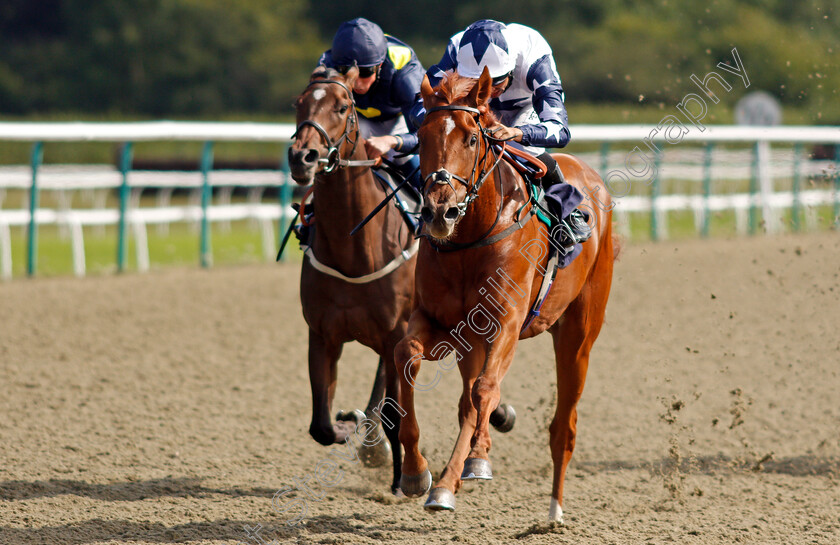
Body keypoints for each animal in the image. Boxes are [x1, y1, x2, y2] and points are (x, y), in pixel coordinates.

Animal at [288, 66, 420, 490]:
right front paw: (351, 426)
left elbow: (396, 415)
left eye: (343, 107)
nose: (303, 156)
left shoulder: (397, 332)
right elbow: (321, 424)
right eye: (298, 103)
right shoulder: (322, 333)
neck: (354, 249)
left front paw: (403, 481)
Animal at [394, 69, 616, 524]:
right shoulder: (441, 322)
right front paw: (417, 472)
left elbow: (483, 391)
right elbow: (407, 357)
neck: (471, 238)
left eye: (471, 138)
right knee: (468, 398)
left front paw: (465, 466)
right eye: (421, 135)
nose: (439, 212)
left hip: (579, 335)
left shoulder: (507, 323)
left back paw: (552, 512)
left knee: (562, 426)